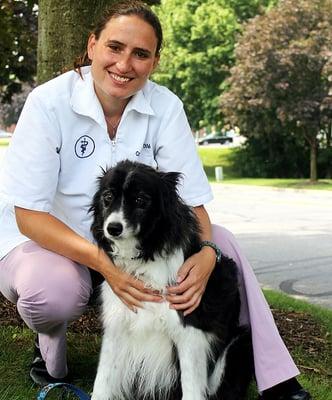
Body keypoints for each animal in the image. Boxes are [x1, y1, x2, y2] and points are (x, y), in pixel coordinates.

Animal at [89, 160, 253, 400]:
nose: (113, 228)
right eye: (108, 197)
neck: (144, 260)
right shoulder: (117, 326)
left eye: (141, 200)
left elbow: (192, 388)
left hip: (239, 342)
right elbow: (102, 381)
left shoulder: (189, 332)